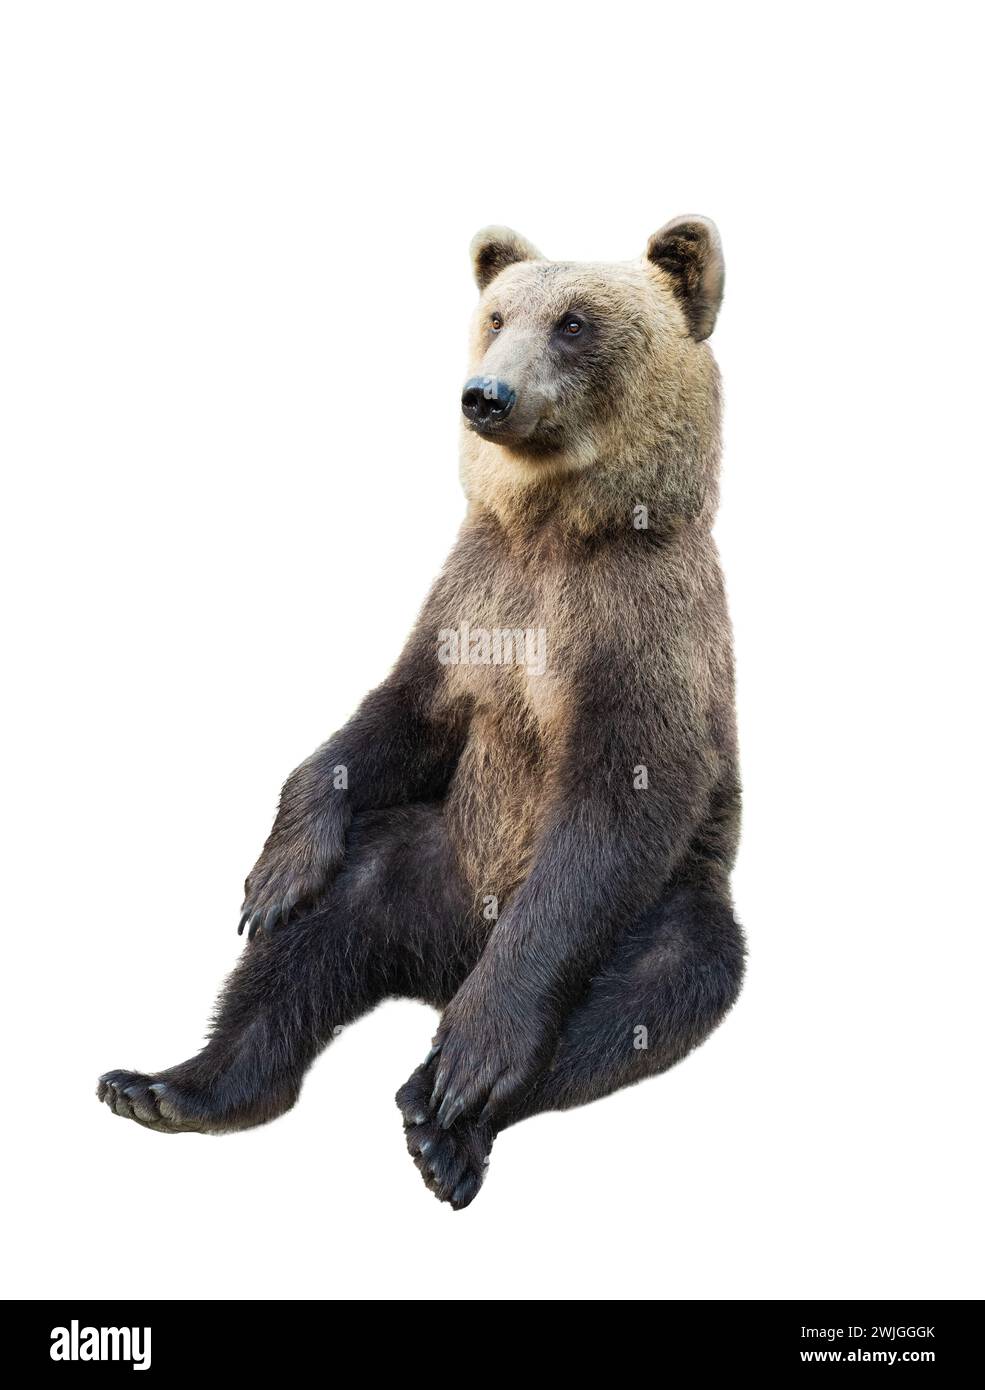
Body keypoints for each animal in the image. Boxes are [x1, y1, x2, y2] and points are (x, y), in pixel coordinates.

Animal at [98, 217, 746, 1211]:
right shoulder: (473, 598)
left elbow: (615, 811)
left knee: (650, 990)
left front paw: (474, 1059)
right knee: (314, 936)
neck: (555, 531)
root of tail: (443, 962)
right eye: (495, 315)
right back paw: (174, 1086)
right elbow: (394, 718)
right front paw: (274, 871)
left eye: (575, 321)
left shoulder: (637, 637)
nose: (486, 395)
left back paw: (441, 1114)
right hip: (424, 857)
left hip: (667, 905)